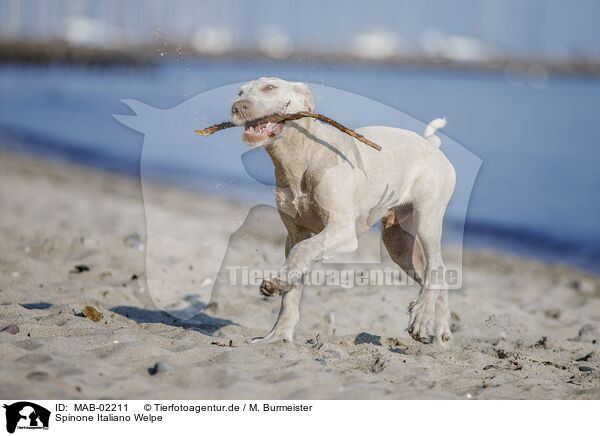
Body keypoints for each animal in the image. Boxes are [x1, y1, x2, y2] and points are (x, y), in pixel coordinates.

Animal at [230, 77, 454, 344]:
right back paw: (440, 329)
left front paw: (279, 281)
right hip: (398, 242)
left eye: (270, 88)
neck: (301, 157)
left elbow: (302, 250)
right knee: (431, 273)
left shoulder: (341, 231)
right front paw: (278, 334)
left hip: (427, 217)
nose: (237, 107)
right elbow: (295, 274)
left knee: (437, 267)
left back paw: (421, 318)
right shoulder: (295, 233)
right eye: (240, 92)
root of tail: (432, 145)